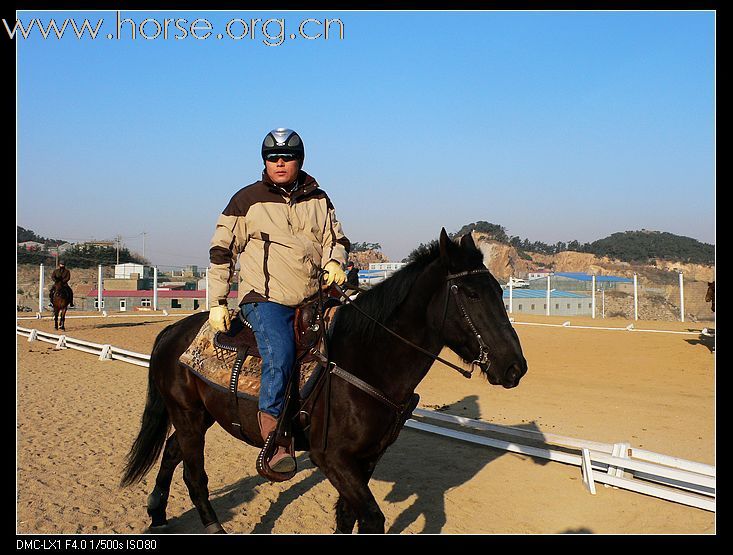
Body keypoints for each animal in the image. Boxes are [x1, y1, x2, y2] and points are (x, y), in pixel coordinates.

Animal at [118, 229, 528, 536]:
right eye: (472, 294)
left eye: (499, 291)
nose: (515, 367)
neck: (365, 361)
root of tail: (172, 331)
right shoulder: (330, 457)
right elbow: (372, 518)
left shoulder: (368, 457)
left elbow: (348, 516)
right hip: (187, 415)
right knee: (194, 474)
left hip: (200, 416)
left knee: (172, 451)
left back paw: (157, 514)